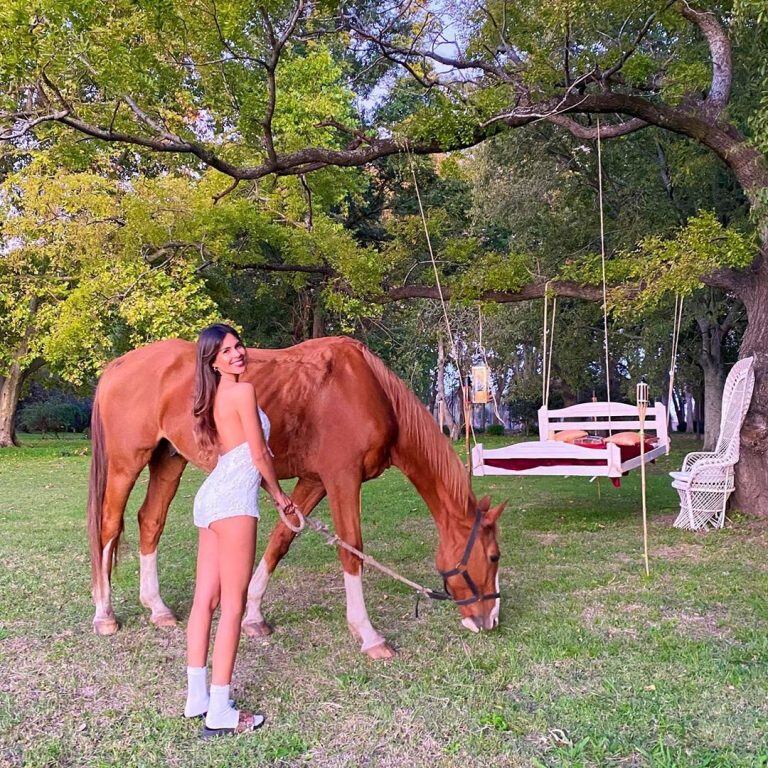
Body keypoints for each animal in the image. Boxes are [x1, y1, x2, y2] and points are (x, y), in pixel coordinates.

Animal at [87, 338, 504, 660]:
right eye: (494, 556)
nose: (491, 620)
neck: (368, 390)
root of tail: (118, 365)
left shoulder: (313, 481)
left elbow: (281, 540)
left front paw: (252, 615)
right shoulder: (342, 479)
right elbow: (351, 550)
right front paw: (368, 635)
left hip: (169, 459)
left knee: (150, 521)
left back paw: (157, 608)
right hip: (126, 465)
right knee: (108, 527)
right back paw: (105, 614)